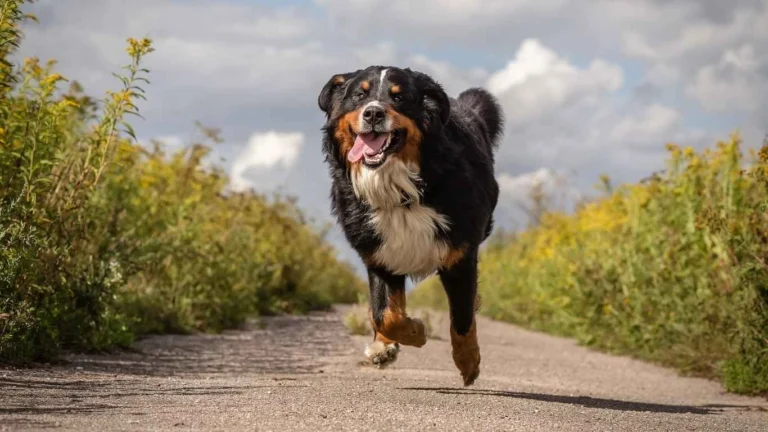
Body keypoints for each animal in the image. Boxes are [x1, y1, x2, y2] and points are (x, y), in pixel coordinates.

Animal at [318, 65, 504, 384]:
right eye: (359, 95)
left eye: (399, 97)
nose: (373, 113)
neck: (397, 186)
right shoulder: (379, 253)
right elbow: (384, 313)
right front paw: (413, 332)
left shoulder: (460, 255)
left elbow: (463, 317)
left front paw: (468, 362)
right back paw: (382, 347)